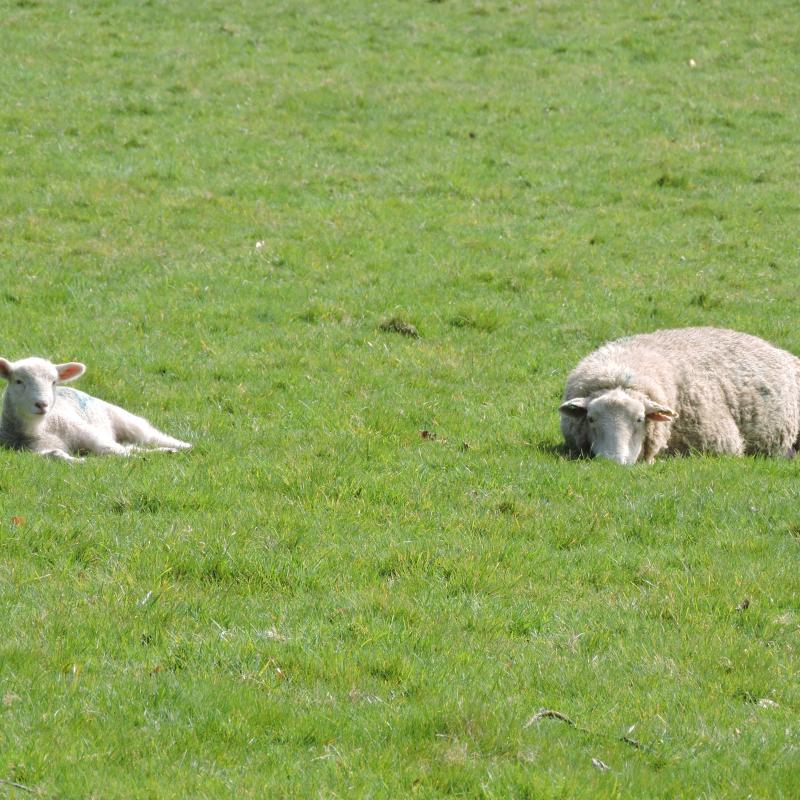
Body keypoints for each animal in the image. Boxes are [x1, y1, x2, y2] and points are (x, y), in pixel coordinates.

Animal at [0, 356, 192, 462]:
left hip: (123, 419)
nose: (42, 404)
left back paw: (182, 446)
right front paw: (80, 461)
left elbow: (112, 449)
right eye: (18, 381)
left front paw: (135, 460)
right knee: (133, 446)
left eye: (54, 382)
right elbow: (55, 454)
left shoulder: (86, 432)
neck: (41, 428)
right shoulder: (30, 451)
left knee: (150, 436)